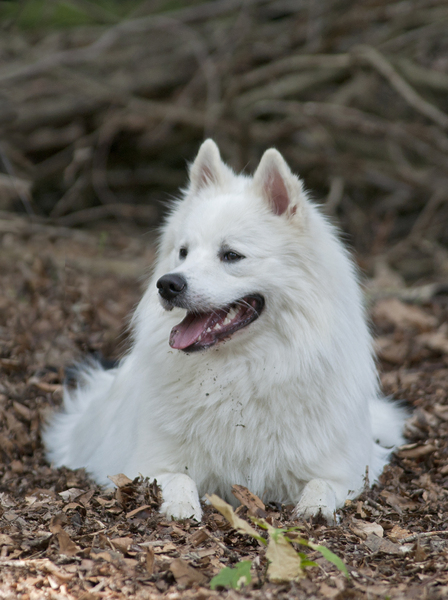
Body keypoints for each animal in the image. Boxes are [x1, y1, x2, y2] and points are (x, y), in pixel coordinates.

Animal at [45, 139, 406, 520]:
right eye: (183, 252)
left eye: (231, 255)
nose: (167, 284)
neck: (239, 372)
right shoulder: (148, 464)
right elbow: (177, 479)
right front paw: (182, 508)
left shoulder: (344, 471)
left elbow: (322, 485)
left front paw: (315, 509)